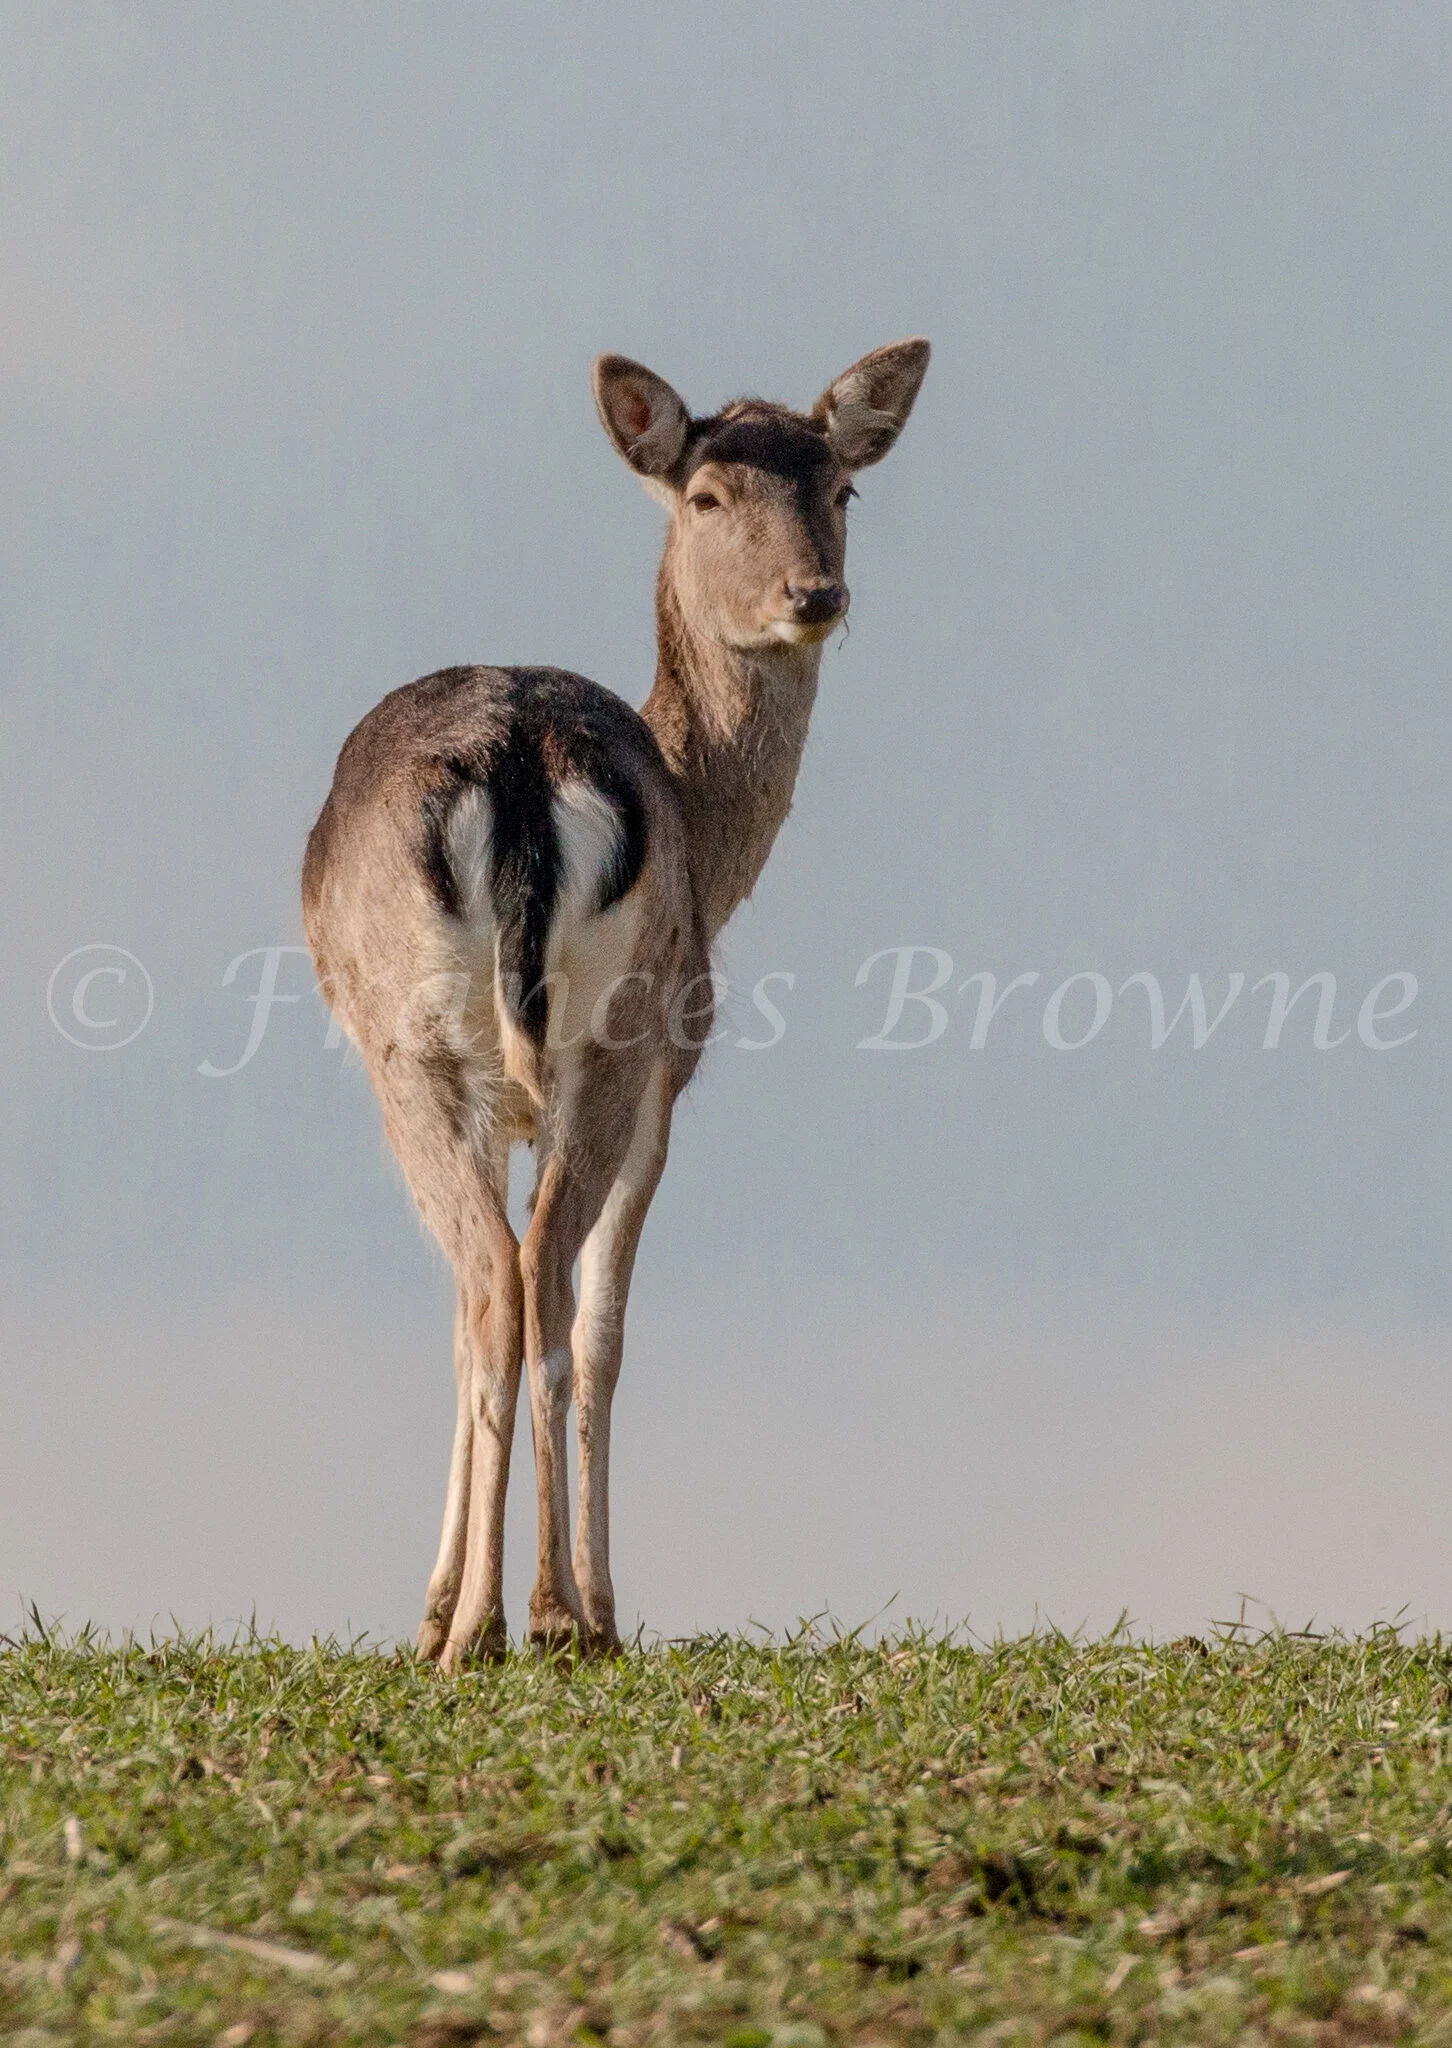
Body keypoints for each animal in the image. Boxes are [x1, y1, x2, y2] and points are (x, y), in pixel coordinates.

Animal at [302, 339, 930, 1665]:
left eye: (842, 489)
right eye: (707, 495)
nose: (815, 594)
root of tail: (519, 762)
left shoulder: (603, 1084)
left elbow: (537, 1317)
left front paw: (469, 1603)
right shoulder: (641, 1079)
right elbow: (577, 1327)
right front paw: (531, 1599)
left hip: (463, 1051)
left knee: (510, 1279)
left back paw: (505, 1618)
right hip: (573, 1043)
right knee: (523, 1280)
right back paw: (523, 1614)